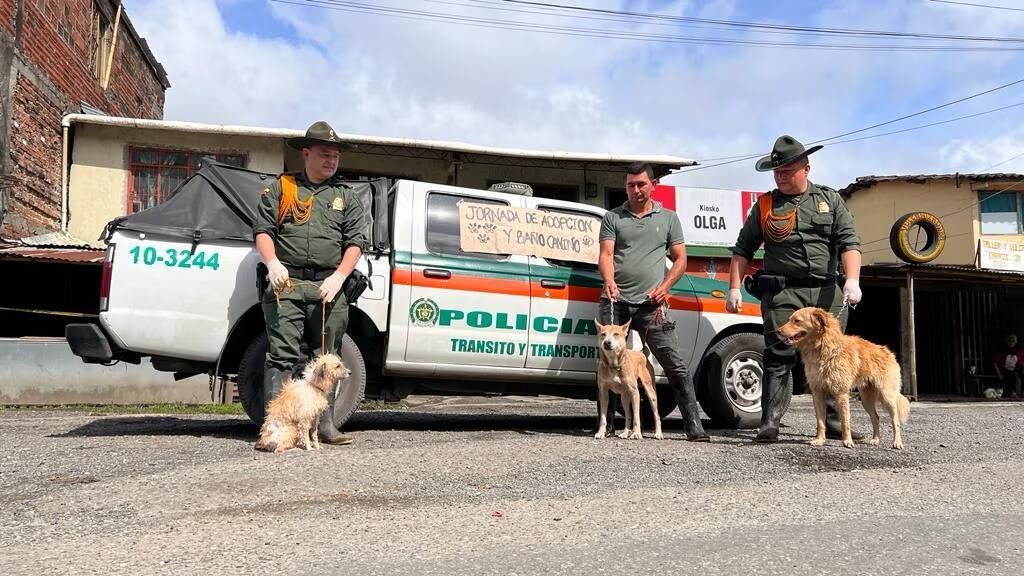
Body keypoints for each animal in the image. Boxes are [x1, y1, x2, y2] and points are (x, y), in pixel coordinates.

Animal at [774, 305, 913, 448]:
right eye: (789, 319)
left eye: (797, 321)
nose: (777, 331)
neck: (824, 348)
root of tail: (888, 352)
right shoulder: (817, 392)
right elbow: (820, 421)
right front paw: (820, 440)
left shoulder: (841, 393)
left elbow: (845, 421)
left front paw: (847, 441)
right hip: (866, 399)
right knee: (876, 417)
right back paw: (876, 439)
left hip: (887, 395)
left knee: (895, 420)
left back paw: (897, 443)